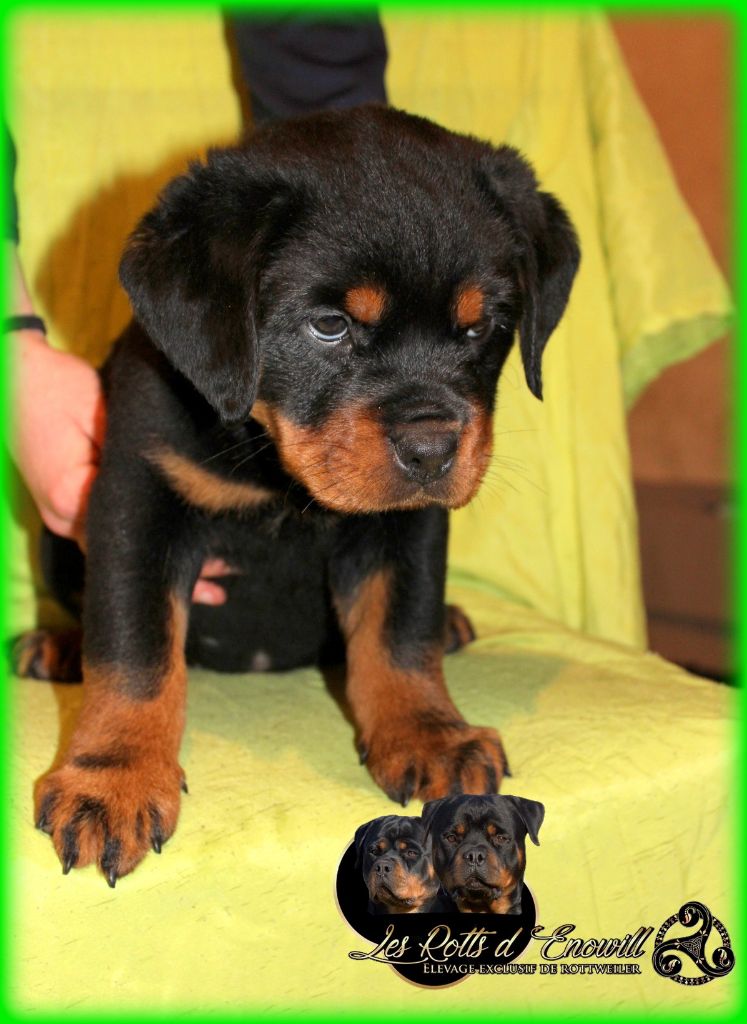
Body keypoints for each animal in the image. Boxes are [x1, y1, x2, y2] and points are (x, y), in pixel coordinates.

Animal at [24, 104, 579, 886]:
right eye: (329, 325)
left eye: (482, 326)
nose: (433, 449)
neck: (271, 465)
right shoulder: (140, 496)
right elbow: (135, 649)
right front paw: (114, 780)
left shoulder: (405, 526)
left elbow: (400, 629)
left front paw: (430, 734)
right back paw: (59, 645)